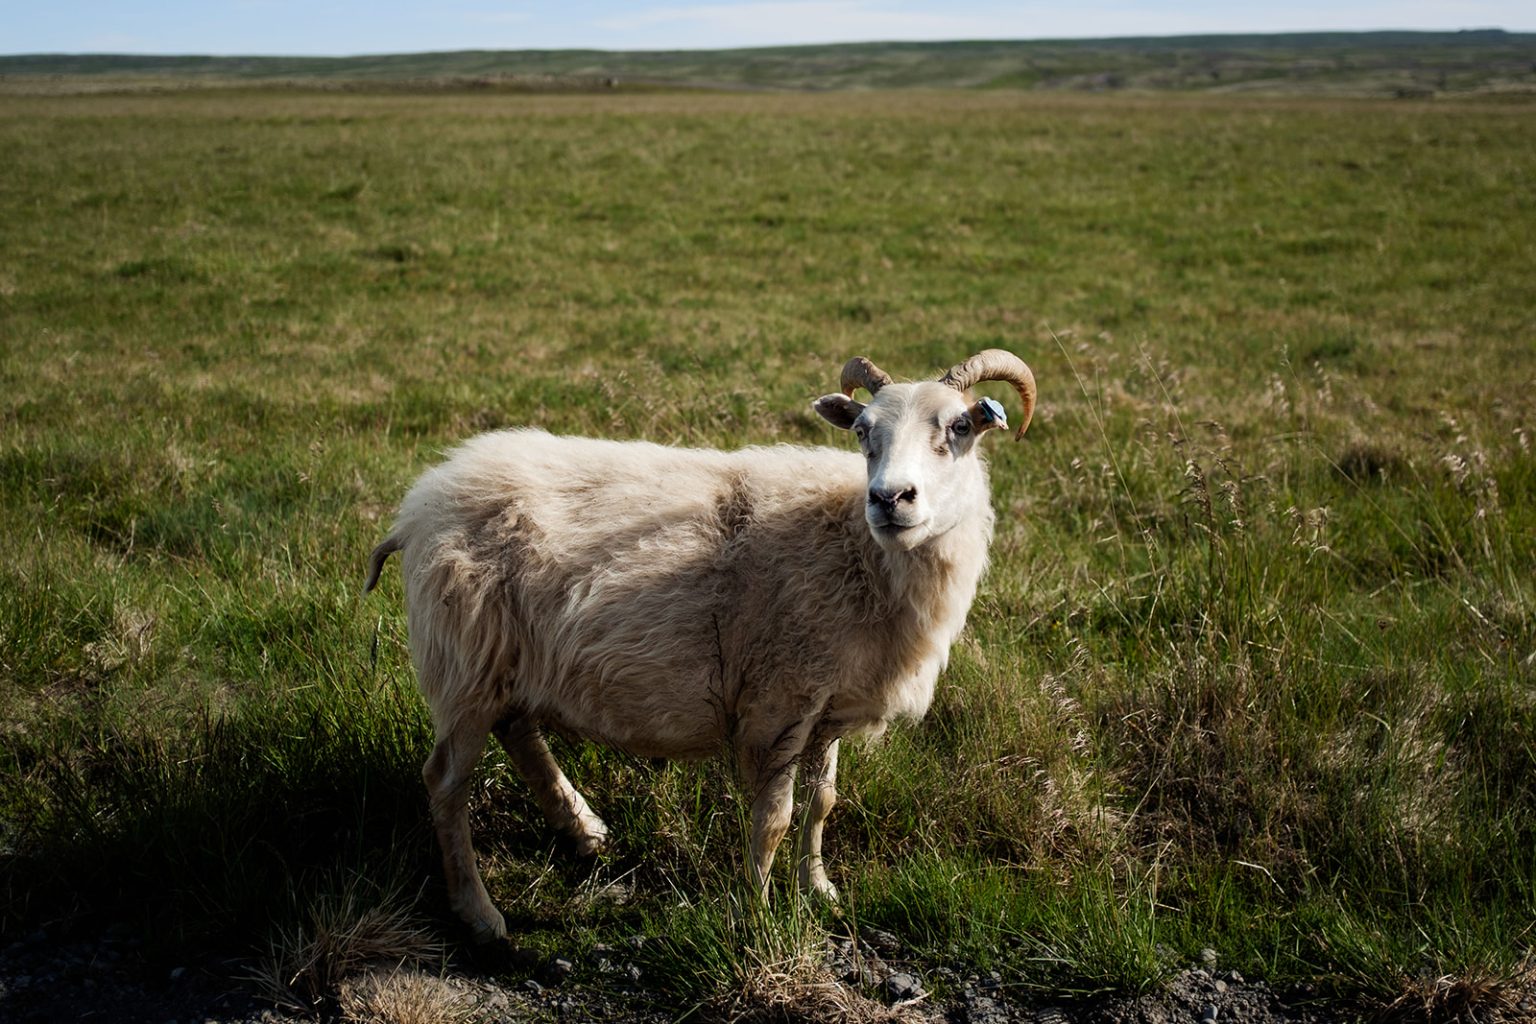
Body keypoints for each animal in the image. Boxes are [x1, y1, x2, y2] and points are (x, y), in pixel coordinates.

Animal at [364, 349, 1036, 941]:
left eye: (959, 427)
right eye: (863, 431)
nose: (890, 499)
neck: (858, 550)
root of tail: (422, 502)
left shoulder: (827, 703)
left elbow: (822, 802)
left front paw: (818, 889)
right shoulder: (779, 698)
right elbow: (773, 820)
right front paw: (758, 912)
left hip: (508, 658)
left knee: (519, 732)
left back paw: (581, 828)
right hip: (465, 658)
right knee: (447, 782)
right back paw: (479, 913)